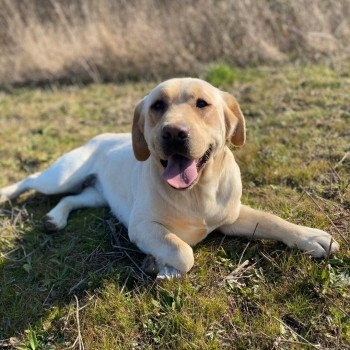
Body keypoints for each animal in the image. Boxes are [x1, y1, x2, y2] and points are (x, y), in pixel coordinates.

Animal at [0, 78, 340, 278]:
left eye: (202, 103)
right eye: (157, 106)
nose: (174, 133)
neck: (198, 191)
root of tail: (100, 136)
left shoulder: (232, 216)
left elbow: (273, 220)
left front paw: (311, 237)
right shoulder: (142, 226)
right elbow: (182, 250)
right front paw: (162, 265)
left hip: (96, 195)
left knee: (72, 199)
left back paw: (55, 218)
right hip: (62, 176)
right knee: (33, 178)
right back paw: (7, 193)